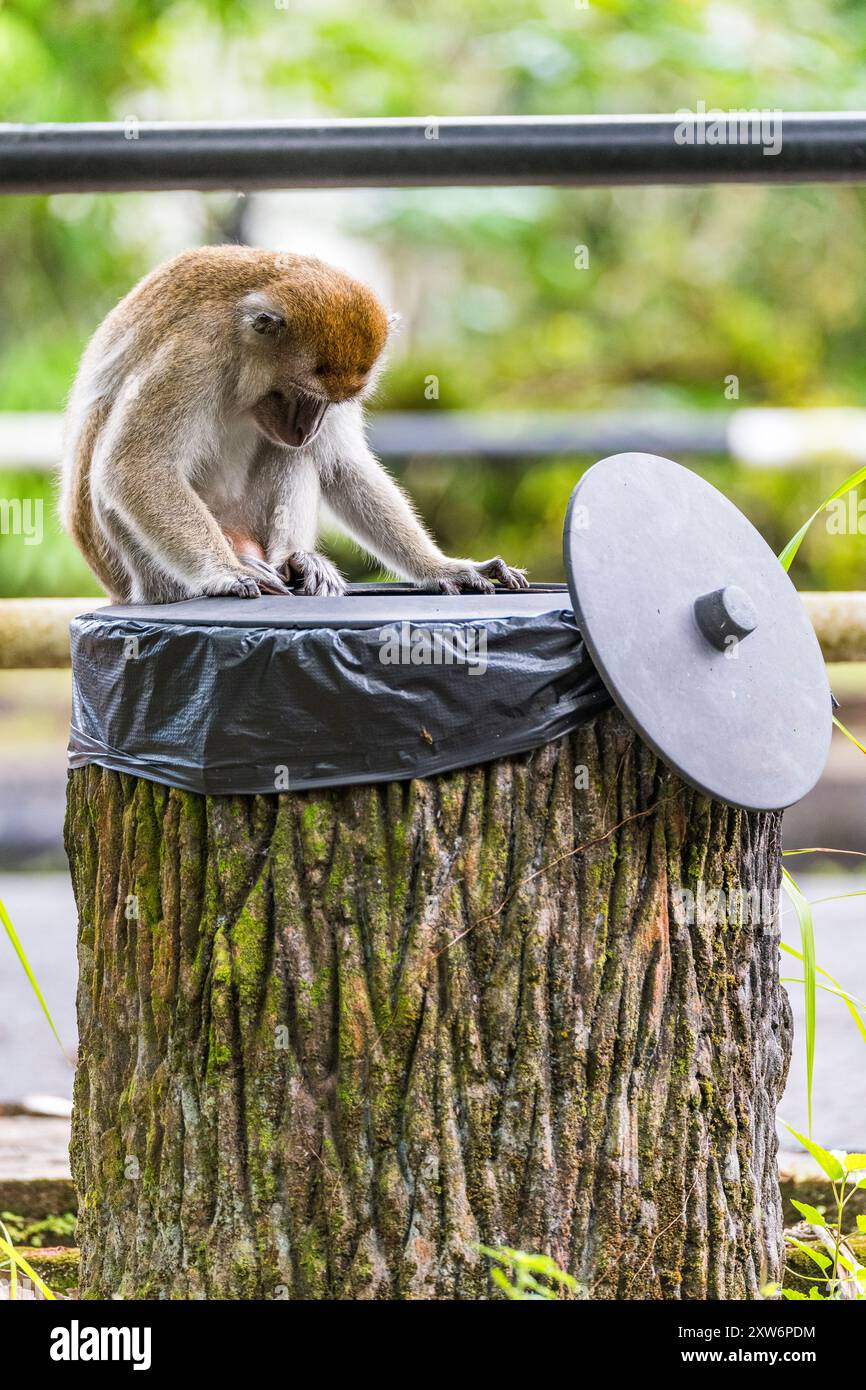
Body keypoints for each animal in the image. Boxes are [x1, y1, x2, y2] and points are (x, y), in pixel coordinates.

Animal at [61, 246, 528, 603]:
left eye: (333, 404)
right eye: (301, 395)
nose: (309, 428)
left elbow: (343, 466)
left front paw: (441, 567)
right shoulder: (192, 354)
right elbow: (135, 466)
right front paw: (225, 573)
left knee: (300, 456)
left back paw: (294, 560)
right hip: (139, 573)